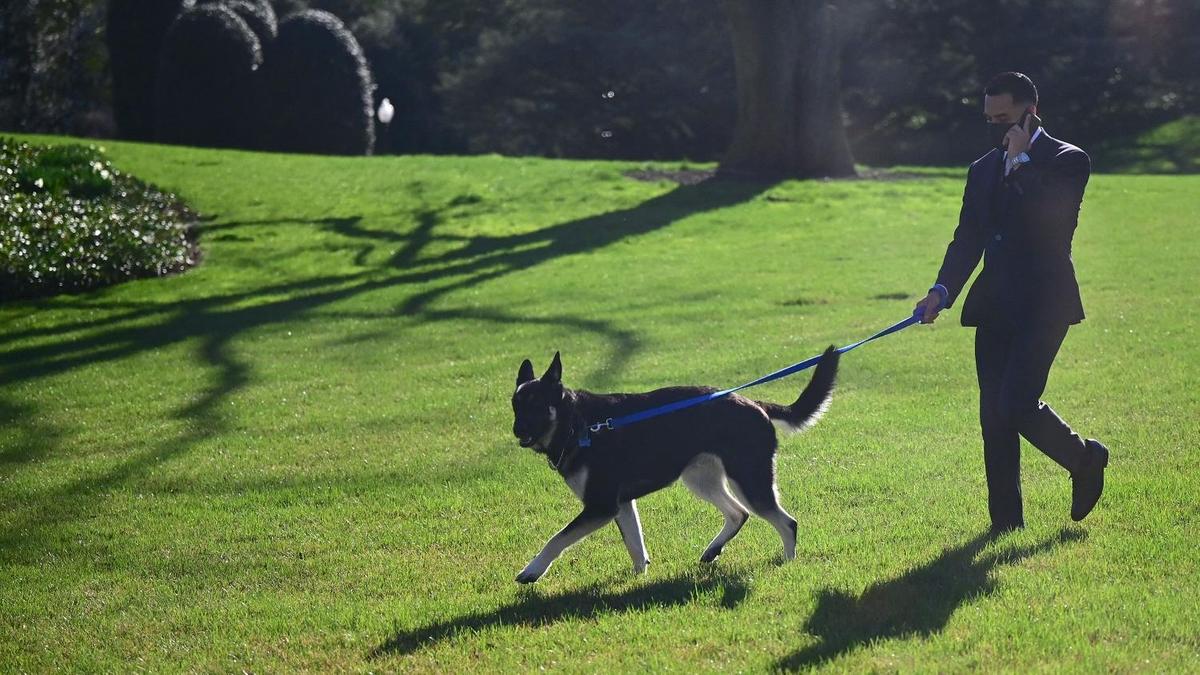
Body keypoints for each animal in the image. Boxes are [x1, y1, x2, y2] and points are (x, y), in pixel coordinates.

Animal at [511, 343, 840, 581]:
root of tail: (755, 403)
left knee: (786, 522)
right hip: (701, 479)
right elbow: (635, 546)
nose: (517, 430)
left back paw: (787, 562)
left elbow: (557, 539)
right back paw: (712, 551)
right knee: (739, 513)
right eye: (515, 405)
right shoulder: (622, 505)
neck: (577, 424)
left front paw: (532, 571)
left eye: (537, 406)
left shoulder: (600, 507)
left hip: (749, 480)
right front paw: (638, 578)